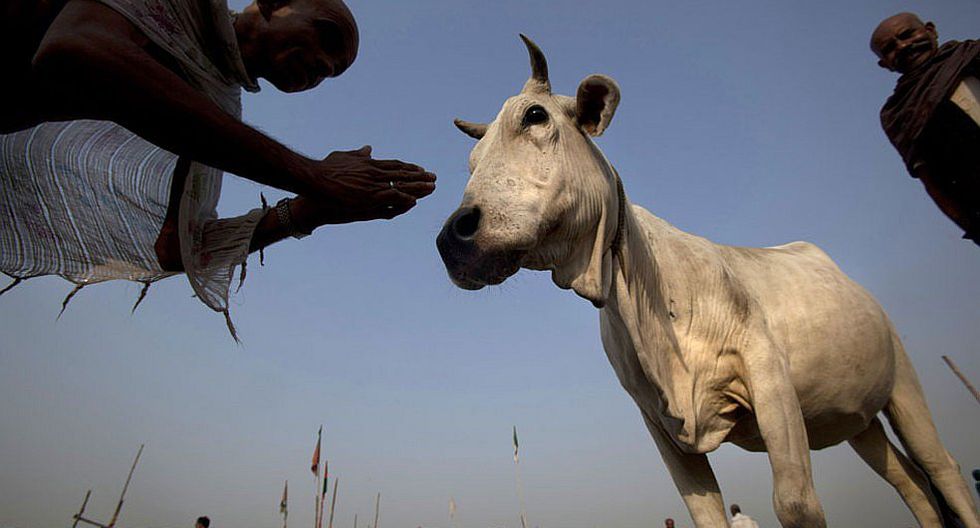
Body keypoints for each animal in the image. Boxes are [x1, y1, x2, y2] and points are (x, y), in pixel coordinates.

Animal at [438, 37, 980, 528]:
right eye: (472, 160)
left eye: (535, 116)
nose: (452, 238)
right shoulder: (656, 421)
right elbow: (707, 516)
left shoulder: (769, 375)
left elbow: (797, 505)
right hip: (856, 418)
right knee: (910, 482)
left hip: (902, 379)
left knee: (942, 468)